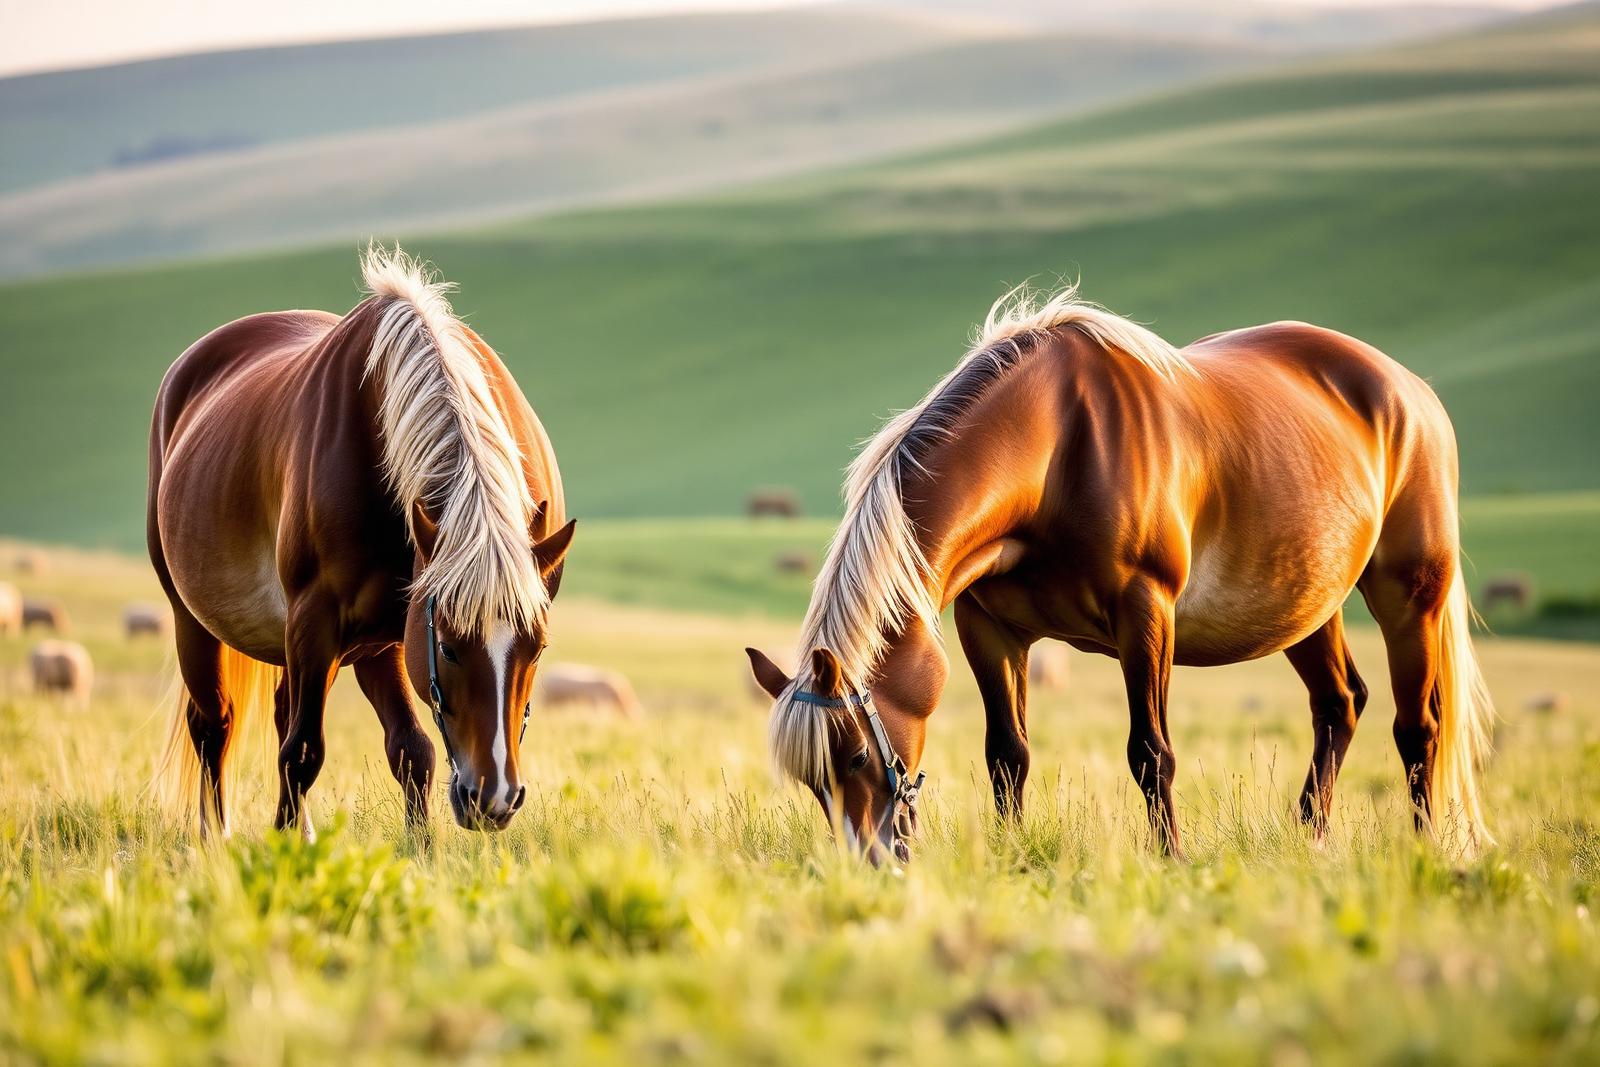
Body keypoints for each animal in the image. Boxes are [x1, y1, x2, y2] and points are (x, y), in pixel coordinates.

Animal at [149, 247, 575, 838]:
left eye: (537, 649)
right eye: (448, 647)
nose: (493, 799)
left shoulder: (388, 636)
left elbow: (412, 752)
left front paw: (421, 852)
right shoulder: (318, 623)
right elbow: (303, 753)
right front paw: (286, 849)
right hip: (194, 619)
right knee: (215, 723)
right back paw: (216, 836)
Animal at [747, 284, 1494, 861]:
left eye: (853, 758)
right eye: (813, 781)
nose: (871, 861)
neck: (1054, 450)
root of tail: (1411, 392)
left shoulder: (1146, 613)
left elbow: (1150, 752)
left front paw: (1172, 859)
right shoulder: (989, 629)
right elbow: (1007, 755)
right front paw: (1011, 857)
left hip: (1410, 596)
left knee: (1418, 727)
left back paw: (1427, 848)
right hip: (1308, 604)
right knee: (1340, 705)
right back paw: (1309, 837)